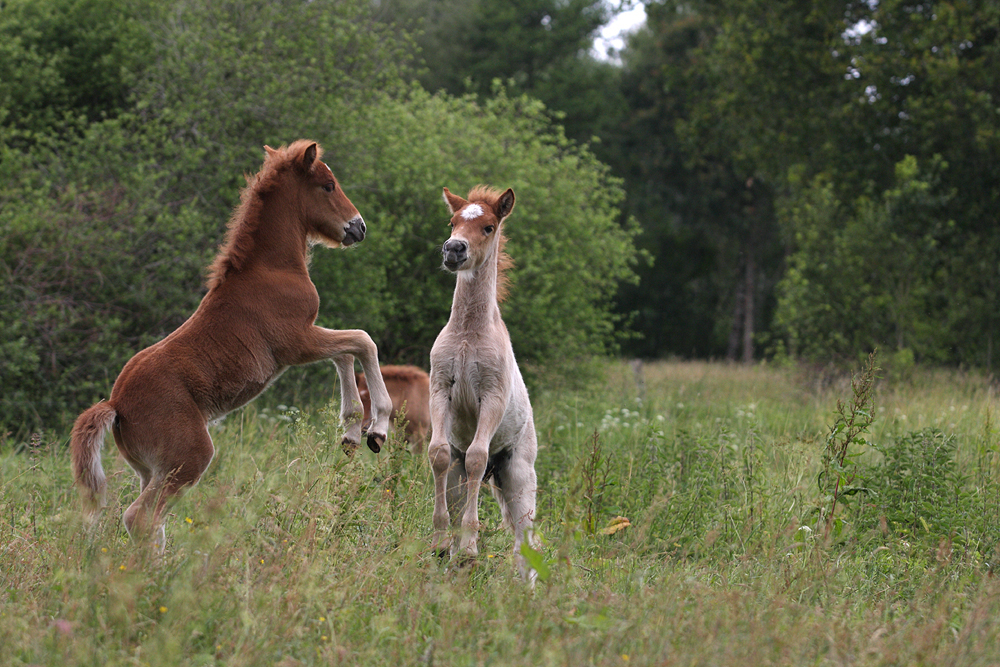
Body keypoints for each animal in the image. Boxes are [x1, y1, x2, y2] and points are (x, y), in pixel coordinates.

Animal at [68, 140, 390, 548]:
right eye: (328, 185)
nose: (358, 227)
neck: (271, 267)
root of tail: (115, 404)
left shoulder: (310, 336)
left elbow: (345, 356)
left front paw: (350, 433)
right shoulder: (297, 342)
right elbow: (363, 342)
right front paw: (377, 429)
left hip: (150, 469)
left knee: (149, 521)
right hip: (188, 457)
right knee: (140, 517)